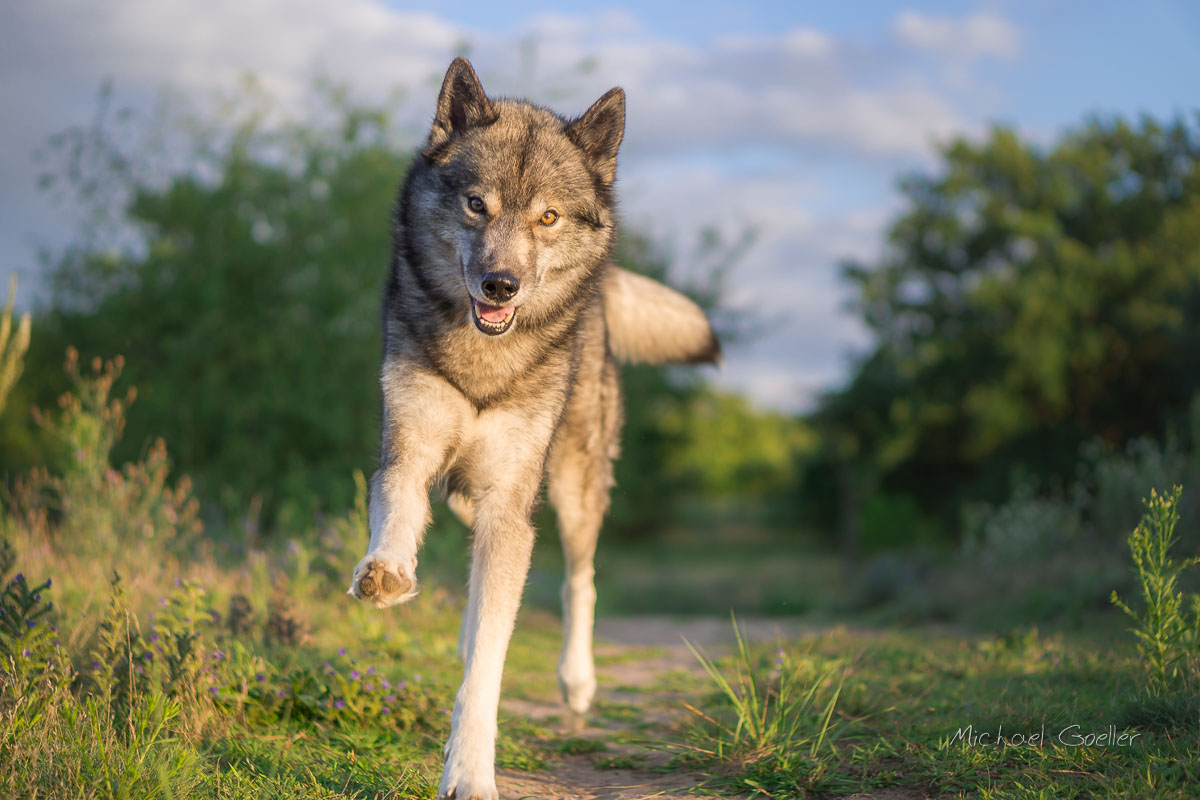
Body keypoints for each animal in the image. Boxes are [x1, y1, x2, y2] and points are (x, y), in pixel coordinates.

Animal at [350, 59, 720, 796]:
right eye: (476, 205)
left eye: (547, 217)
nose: (501, 286)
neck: (483, 358)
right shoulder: (407, 452)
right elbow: (398, 513)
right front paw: (387, 572)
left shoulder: (509, 503)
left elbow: (489, 667)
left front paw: (470, 771)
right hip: (480, 494)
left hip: (570, 491)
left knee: (581, 577)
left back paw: (577, 680)